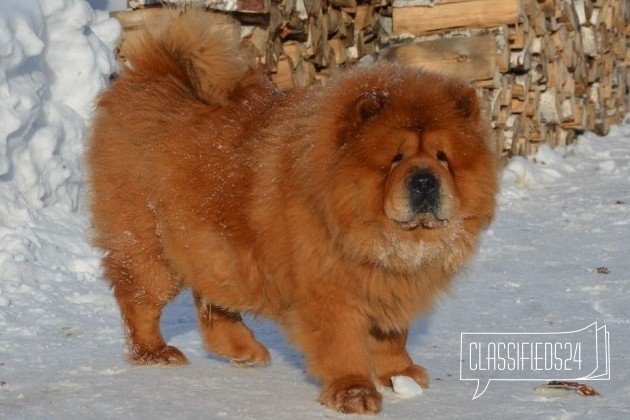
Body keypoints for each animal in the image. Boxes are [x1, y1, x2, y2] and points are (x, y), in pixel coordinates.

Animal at [89, 12, 502, 414]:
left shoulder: (388, 285)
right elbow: (342, 344)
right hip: (151, 248)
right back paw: (155, 353)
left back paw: (242, 350)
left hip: (213, 249)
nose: (424, 180)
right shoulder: (328, 288)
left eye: (443, 158)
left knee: (212, 300)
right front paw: (354, 393)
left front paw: (401, 376)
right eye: (394, 159)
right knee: (139, 298)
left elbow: (391, 336)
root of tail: (151, 73)